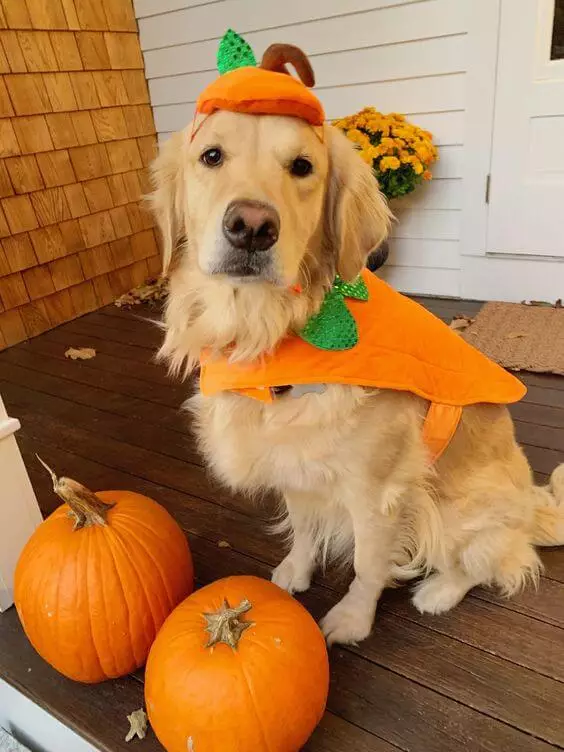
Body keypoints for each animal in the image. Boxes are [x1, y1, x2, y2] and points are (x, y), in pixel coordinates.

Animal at [151, 48, 564, 648]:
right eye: (211, 156)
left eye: (302, 167)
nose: (251, 227)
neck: (267, 331)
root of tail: (534, 506)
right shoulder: (293, 465)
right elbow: (302, 528)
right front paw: (295, 571)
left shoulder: (378, 490)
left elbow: (370, 563)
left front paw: (351, 619)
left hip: (461, 511)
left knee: (492, 561)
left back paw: (439, 591)